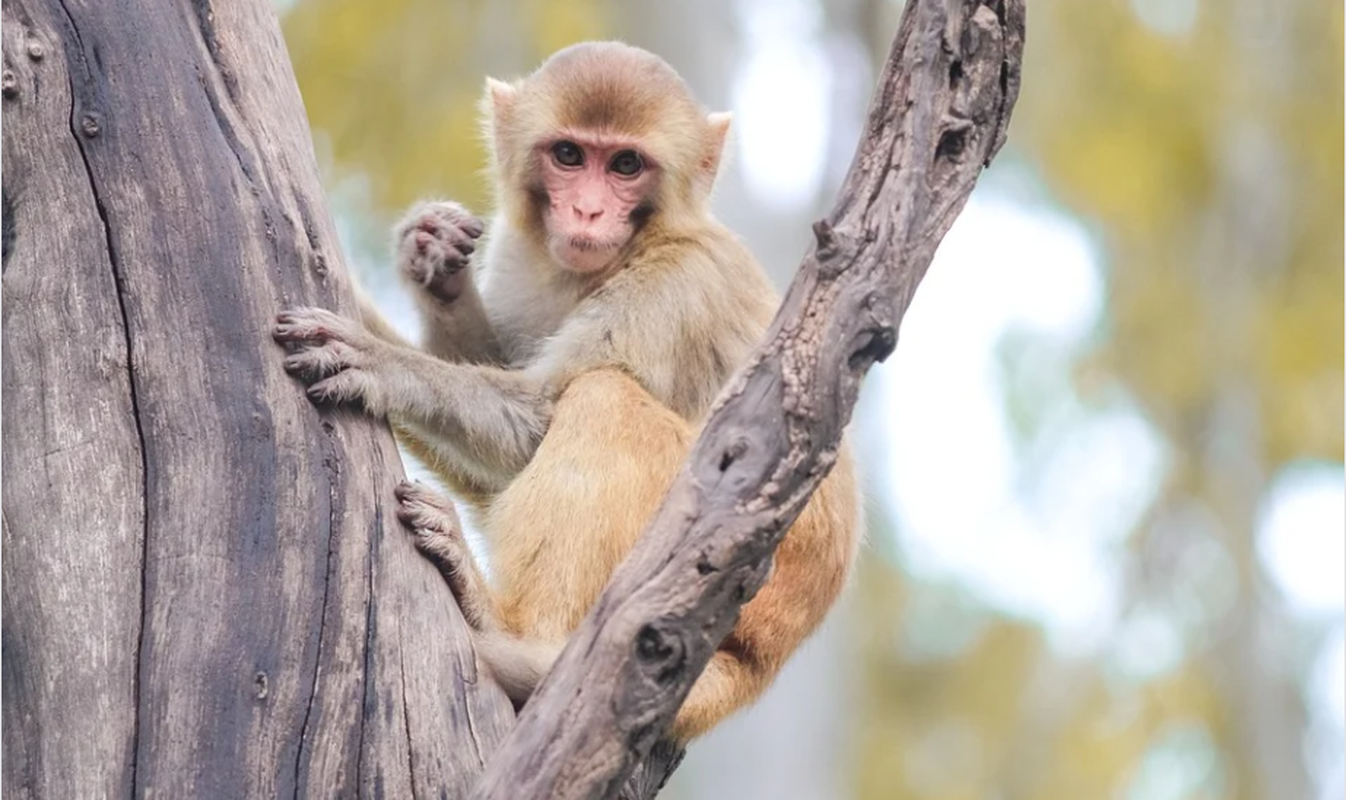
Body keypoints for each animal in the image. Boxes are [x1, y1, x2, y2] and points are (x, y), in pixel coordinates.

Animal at [275, 42, 861, 743]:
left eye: (626, 164)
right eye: (569, 155)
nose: (586, 212)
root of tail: (764, 659)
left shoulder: (682, 285)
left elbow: (538, 416)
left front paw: (379, 359)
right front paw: (432, 260)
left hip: (736, 567)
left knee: (602, 398)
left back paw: (505, 623)